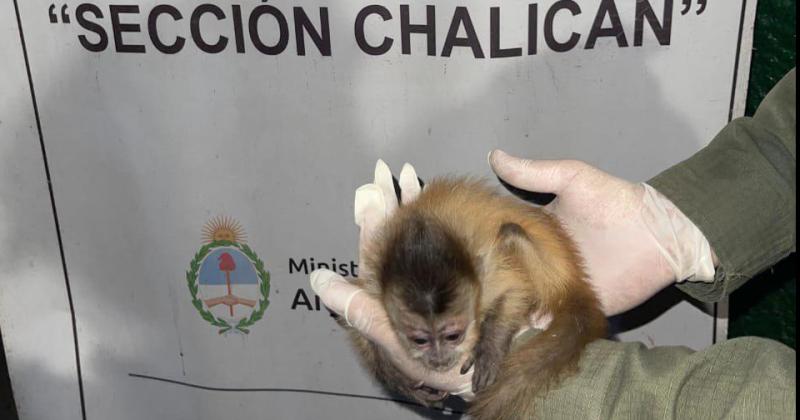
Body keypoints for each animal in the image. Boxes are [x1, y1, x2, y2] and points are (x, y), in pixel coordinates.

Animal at [338, 177, 608, 420]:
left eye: (453, 336)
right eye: (420, 341)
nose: (439, 360)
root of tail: (573, 279)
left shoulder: (486, 273)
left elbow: (515, 290)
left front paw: (488, 347)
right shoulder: (375, 281)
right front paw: (394, 376)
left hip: (549, 277)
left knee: (510, 232)